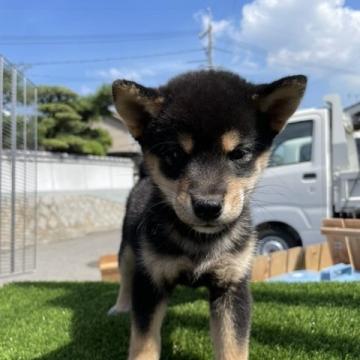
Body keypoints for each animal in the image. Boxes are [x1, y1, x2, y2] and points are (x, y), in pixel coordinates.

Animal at [109, 69, 306, 358]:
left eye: (239, 153)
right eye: (174, 153)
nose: (207, 206)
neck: (199, 241)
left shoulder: (232, 285)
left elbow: (233, 346)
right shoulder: (150, 283)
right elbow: (143, 343)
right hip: (129, 249)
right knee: (125, 276)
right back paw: (121, 306)